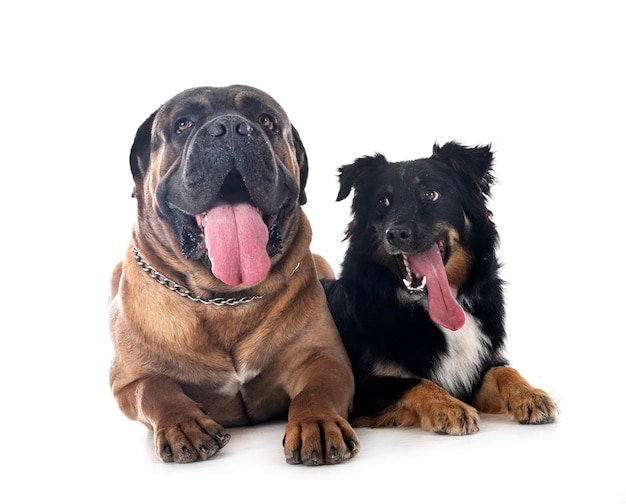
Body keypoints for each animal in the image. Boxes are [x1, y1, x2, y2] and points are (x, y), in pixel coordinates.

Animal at [109, 85, 358, 464]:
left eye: (266, 120)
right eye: (183, 124)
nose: (229, 128)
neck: (225, 300)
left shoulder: (324, 357)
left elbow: (316, 391)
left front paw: (316, 423)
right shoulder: (128, 380)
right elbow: (155, 388)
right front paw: (183, 423)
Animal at [322, 142, 556, 434]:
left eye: (430, 194)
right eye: (382, 202)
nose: (395, 233)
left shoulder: (475, 370)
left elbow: (503, 371)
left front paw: (530, 394)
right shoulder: (359, 388)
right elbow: (413, 382)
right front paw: (449, 407)